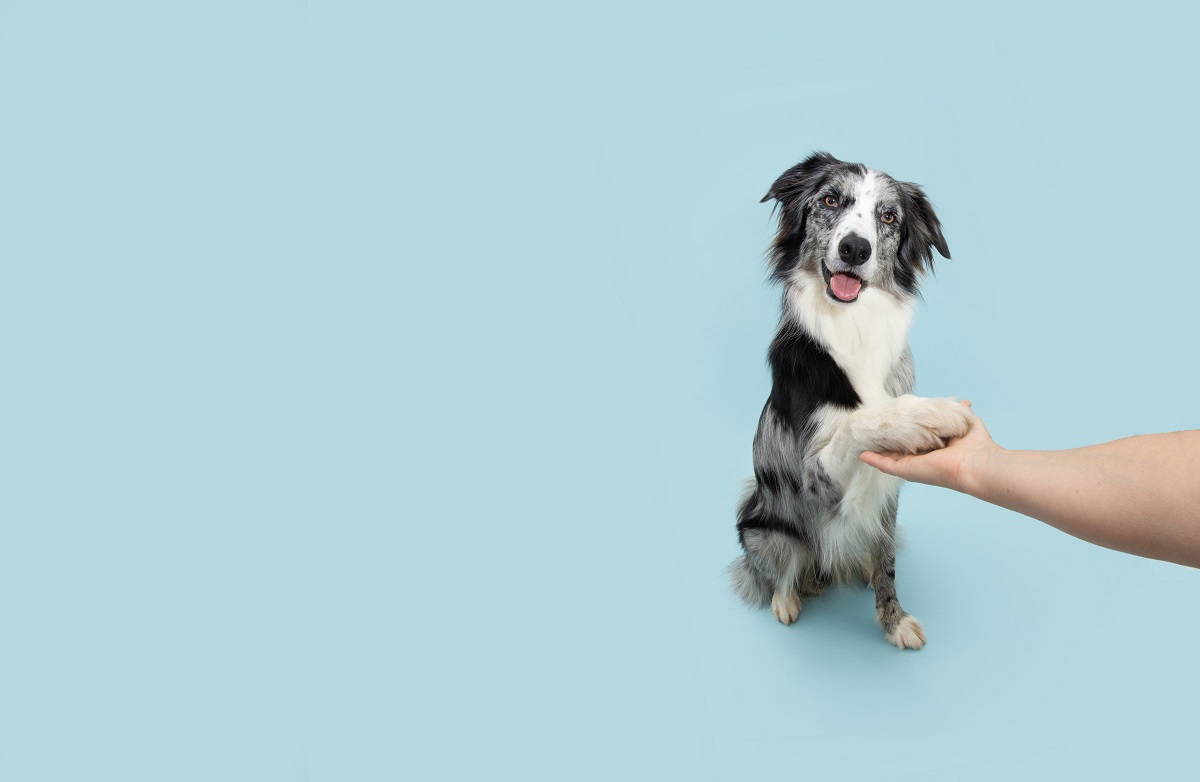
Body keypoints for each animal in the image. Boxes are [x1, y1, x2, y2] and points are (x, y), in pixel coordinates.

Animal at [724, 151, 969, 647]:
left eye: (889, 217)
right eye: (831, 200)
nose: (856, 248)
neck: (853, 324)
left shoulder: (887, 500)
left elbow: (888, 565)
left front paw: (894, 620)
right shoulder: (814, 478)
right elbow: (863, 420)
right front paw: (930, 414)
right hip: (767, 528)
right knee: (780, 567)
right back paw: (786, 599)